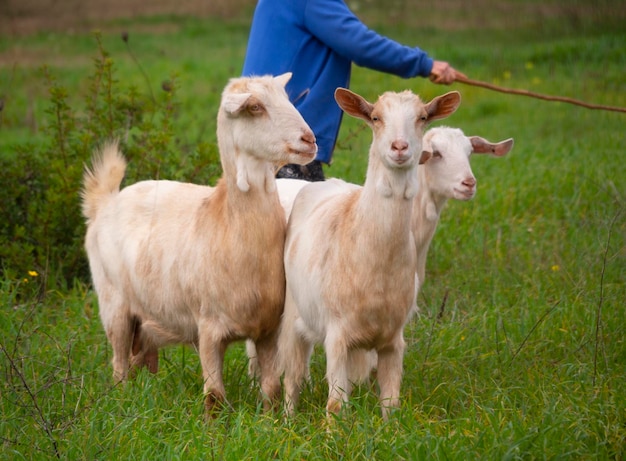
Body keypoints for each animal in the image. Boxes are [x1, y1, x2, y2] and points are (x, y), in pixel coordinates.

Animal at [81, 73, 316, 412]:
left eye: (287, 99)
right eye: (255, 107)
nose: (309, 140)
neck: (227, 224)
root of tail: (105, 202)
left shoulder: (267, 329)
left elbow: (271, 389)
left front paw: (269, 420)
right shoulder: (208, 327)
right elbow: (214, 396)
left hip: (147, 318)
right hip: (113, 303)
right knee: (119, 367)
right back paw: (121, 402)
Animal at [278, 86, 458, 416]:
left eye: (422, 117)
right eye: (375, 117)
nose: (399, 147)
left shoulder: (393, 341)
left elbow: (391, 403)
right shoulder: (336, 334)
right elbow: (336, 404)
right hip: (294, 313)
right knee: (292, 376)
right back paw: (286, 418)